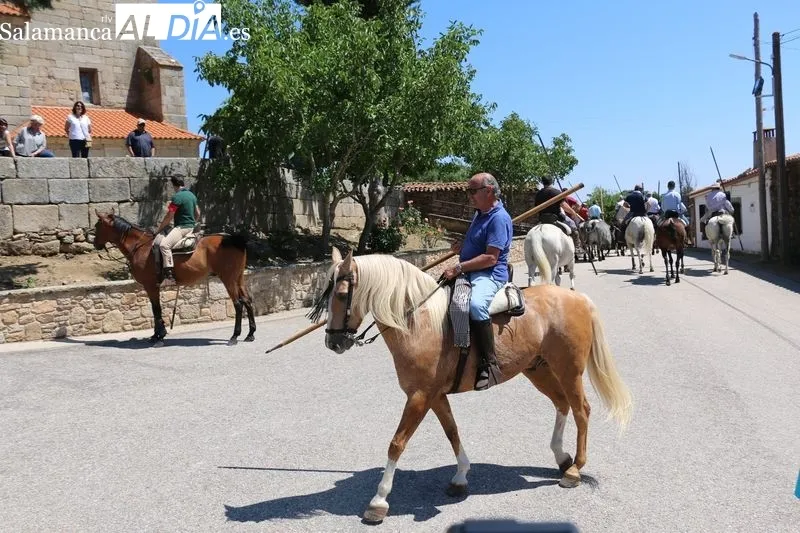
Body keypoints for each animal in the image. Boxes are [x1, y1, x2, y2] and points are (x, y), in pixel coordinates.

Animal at [92, 211, 256, 345]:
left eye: (97, 225)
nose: (95, 244)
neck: (141, 247)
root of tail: (235, 239)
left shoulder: (150, 285)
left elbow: (156, 309)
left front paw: (159, 336)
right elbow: (156, 310)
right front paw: (156, 335)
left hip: (228, 278)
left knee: (238, 304)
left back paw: (234, 336)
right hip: (238, 278)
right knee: (247, 300)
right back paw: (250, 334)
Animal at [320, 249, 632, 524]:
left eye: (342, 294)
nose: (333, 342)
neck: (419, 323)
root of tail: (577, 298)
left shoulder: (419, 397)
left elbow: (396, 444)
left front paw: (379, 501)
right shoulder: (434, 396)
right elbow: (452, 432)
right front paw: (460, 476)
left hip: (569, 370)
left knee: (581, 410)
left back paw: (574, 470)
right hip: (538, 370)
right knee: (562, 403)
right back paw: (562, 457)